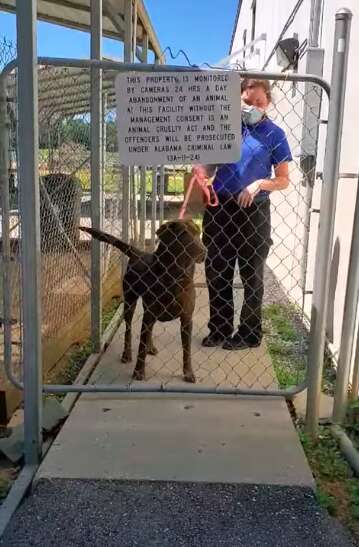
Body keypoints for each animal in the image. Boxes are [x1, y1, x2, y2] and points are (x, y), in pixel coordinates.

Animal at [80, 220, 207, 384]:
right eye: (184, 234)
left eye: (198, 233)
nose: (205, 251)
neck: (174, 277)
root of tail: (138, 253)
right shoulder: (149, 314)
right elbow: (140, 345)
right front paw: (139, 372)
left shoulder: (186, 319)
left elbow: (187, 350)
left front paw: (188, 373)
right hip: (130, 301)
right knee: (128, 329)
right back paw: (127, 354)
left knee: (148, 330)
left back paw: (150, 347)